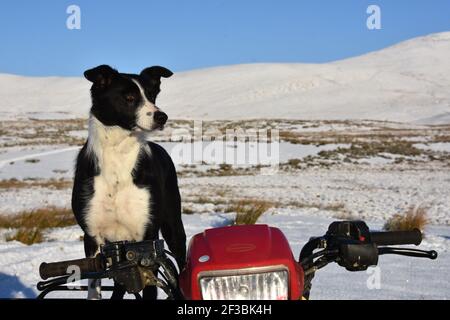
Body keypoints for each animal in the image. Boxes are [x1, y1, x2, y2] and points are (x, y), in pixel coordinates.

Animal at [72, 65, 186, 300]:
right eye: (129, 97)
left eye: (152, 95)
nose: (162, 116)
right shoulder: (92, 236)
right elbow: (95, 286)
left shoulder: (148, 238)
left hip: (173, 226)